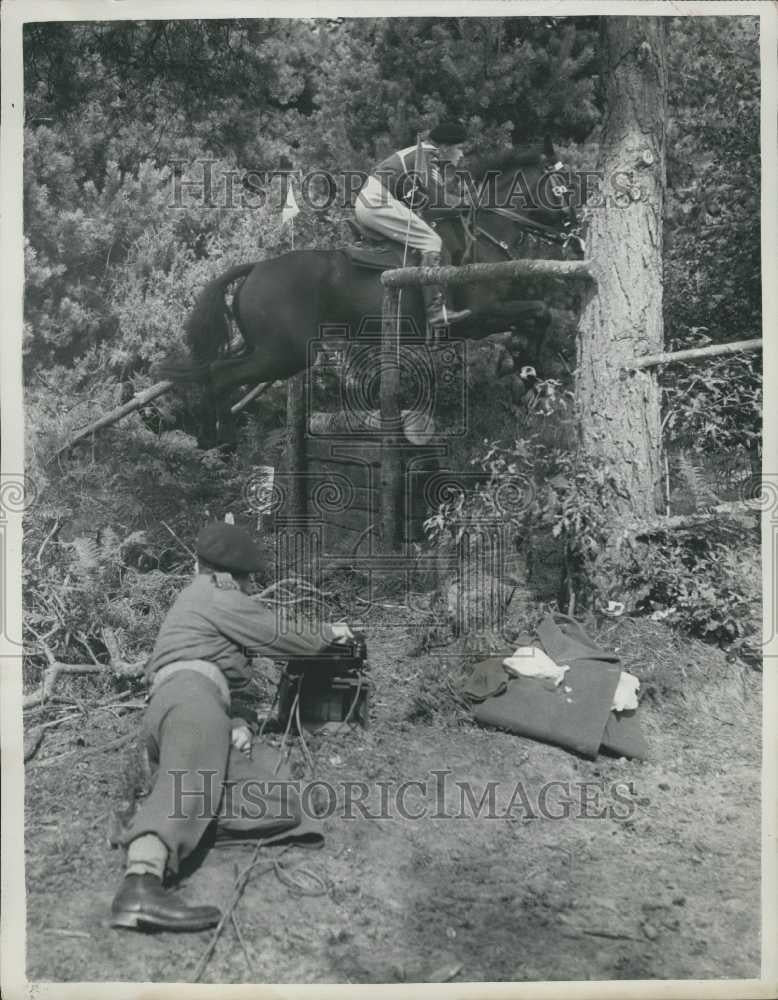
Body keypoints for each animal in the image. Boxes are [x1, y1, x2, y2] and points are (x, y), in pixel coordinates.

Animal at [159, 139, 584, 444]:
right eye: (563, 187)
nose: (579, 235)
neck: (486, 236)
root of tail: (256, 269)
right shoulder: (474, 320)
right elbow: (540, 311)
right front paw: (530, 376)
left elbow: (536, 317)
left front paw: (526, 372)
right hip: (283, 354)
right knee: (219, 376)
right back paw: (219, 439)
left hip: (264, 348)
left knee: (215, 370)